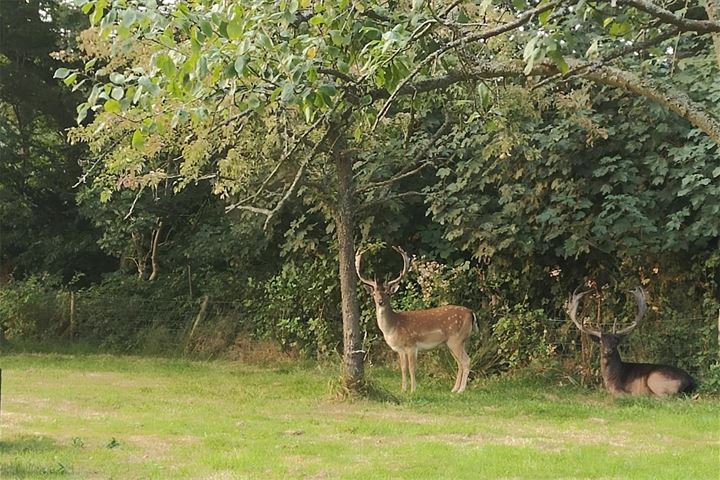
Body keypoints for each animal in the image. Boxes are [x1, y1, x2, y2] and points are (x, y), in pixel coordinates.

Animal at [356, 246, 478, 392]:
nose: (380, 302)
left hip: (456, 339)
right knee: (459, 363)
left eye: (388, 293)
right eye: (374, 293)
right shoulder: (400, 349)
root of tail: (471, 312)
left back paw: (461, 390)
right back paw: (454, 389)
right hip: (454, 342)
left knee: (466, 361)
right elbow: (403, 368)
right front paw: (403, 389)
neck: (393, 327)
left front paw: (413, 390)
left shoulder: (411, 344)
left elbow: (412, 368)